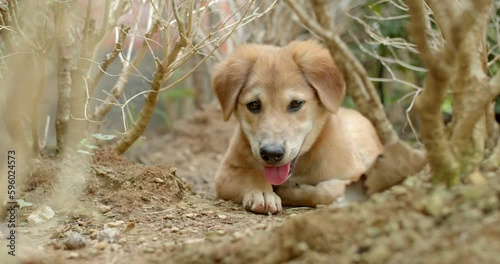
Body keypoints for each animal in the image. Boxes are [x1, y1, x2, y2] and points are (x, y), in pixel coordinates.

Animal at [212, 40, 382, 214]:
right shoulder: (225, 173)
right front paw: (262, 192)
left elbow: (328, 190)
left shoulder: (359, 175)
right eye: (253, 105)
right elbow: (251, 175)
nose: (271, 154)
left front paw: (292, 191)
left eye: (295, 103)